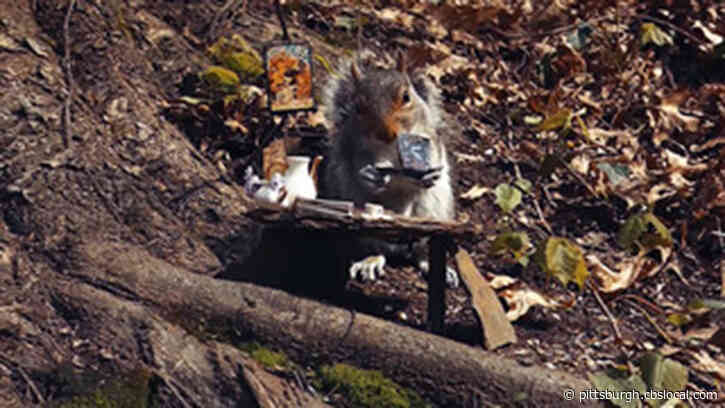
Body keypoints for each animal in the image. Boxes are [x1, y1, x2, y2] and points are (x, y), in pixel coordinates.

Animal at [320, 50, 459, 287]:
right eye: (358, 107)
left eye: (406, 97)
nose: (386, 133)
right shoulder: (351, 146)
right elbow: (355, 166)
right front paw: (369, 176)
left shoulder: (431, 138)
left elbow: (436, 155)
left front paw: (431, 173)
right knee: (375, 248)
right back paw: (369, 261)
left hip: (434, 211)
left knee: (421, 248)